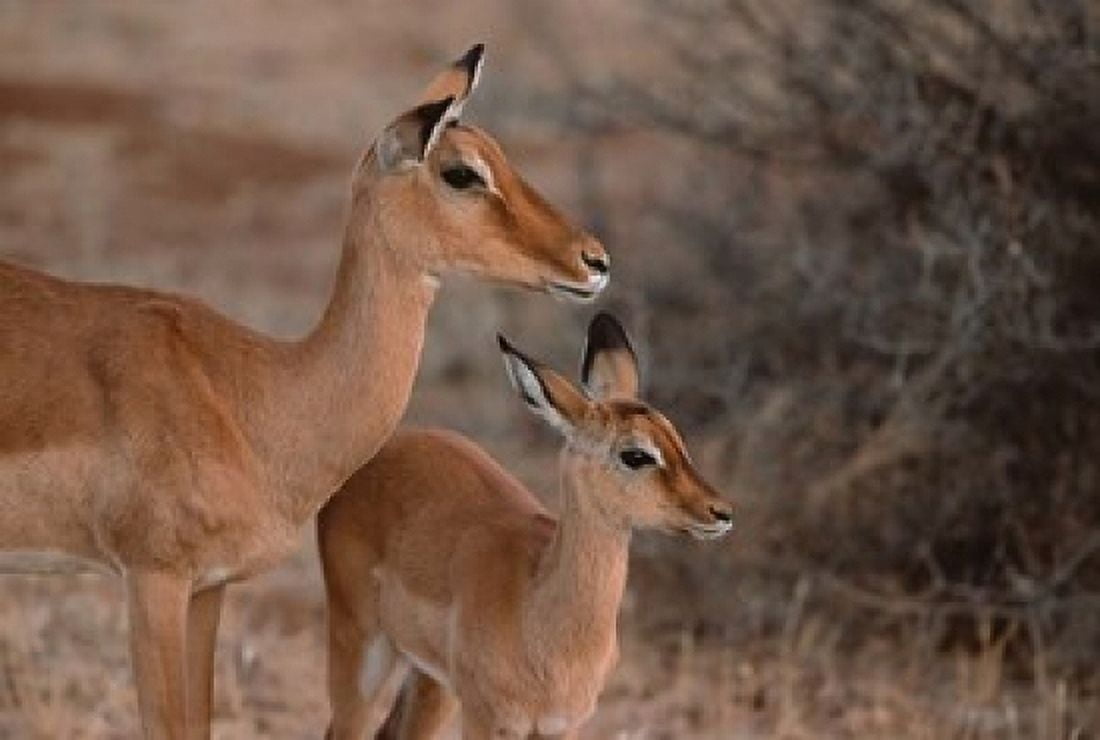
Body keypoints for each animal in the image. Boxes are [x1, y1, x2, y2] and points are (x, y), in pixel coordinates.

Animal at [318, 313, 734, 739]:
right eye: (636, 455)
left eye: (676, 439)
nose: (720, 512)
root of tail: (377, 453)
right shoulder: (486, 720)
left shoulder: (563, 726)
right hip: (362, 647)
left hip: (430, 680)